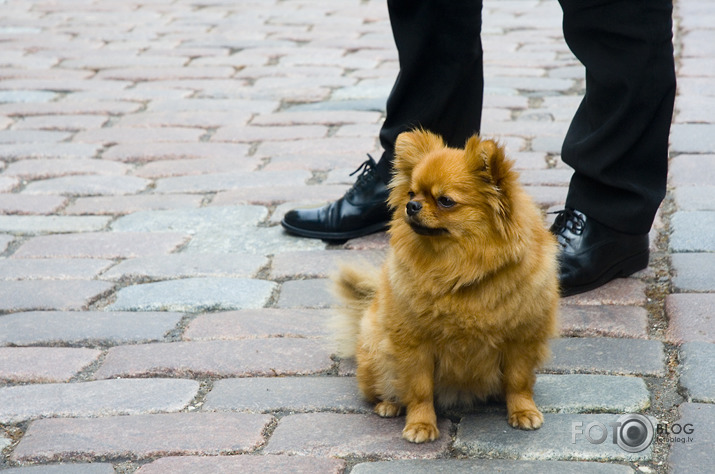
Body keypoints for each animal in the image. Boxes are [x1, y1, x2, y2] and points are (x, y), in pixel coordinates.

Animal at [332, 129, 564, 440]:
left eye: (445, 201)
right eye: (411, 193)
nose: (411, 206)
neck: (459, 268)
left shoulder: (522, 339)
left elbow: (518, 381)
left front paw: (522, 411)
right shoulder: (415, 344)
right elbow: (419, 389)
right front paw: (421, 424)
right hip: (376, 355)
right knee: (384, 389)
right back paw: (389, 405)